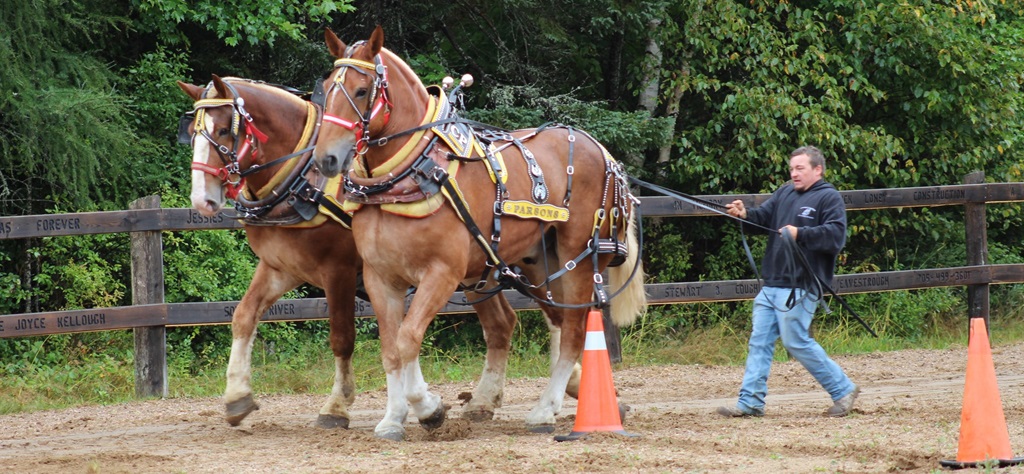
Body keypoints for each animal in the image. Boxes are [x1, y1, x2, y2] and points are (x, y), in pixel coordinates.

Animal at [176, 76, 583, 429]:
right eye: (193, 132)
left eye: (224, 131)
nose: (202, 200)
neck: (303, 180)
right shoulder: (279, 267)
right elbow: (244, 317)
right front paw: (237, 397)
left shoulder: (338, 269)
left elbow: (343, 337)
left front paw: (337, 406)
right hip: (482, 269)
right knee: (506, 323)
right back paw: (493, 400)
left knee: (558, 316)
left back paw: (565, 389)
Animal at [312, 26, 647, 441]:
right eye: (328, 86)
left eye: (361, 91)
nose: (326, 158)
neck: (411, 173)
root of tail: (602, 151)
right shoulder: (380, 278)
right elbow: (392, 347)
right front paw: (393, 418)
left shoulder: (442, 274)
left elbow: (409, 337)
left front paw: (428, 408)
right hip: (535, 262)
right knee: (551, 320)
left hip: (578, 256)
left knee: (573, 329)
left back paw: (544, 410)